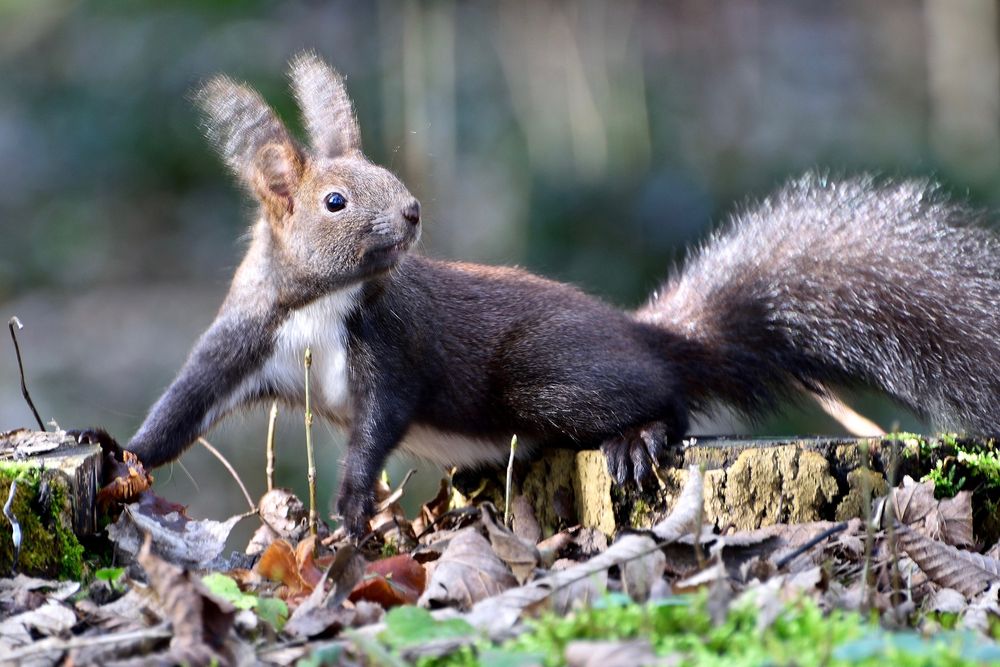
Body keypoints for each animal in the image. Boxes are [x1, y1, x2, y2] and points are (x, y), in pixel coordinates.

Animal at [92, 54, 1000, 540]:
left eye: (384, 172)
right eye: (336, 201)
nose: (413, 210)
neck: (323, 304)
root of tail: (643, 332)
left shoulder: (391, 347)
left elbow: (380, 423)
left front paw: (351, 504)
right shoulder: (247, 338)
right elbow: (181, 411)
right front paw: (116, 450)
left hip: (549, 375)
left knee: (667, 399)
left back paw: (636, 439)